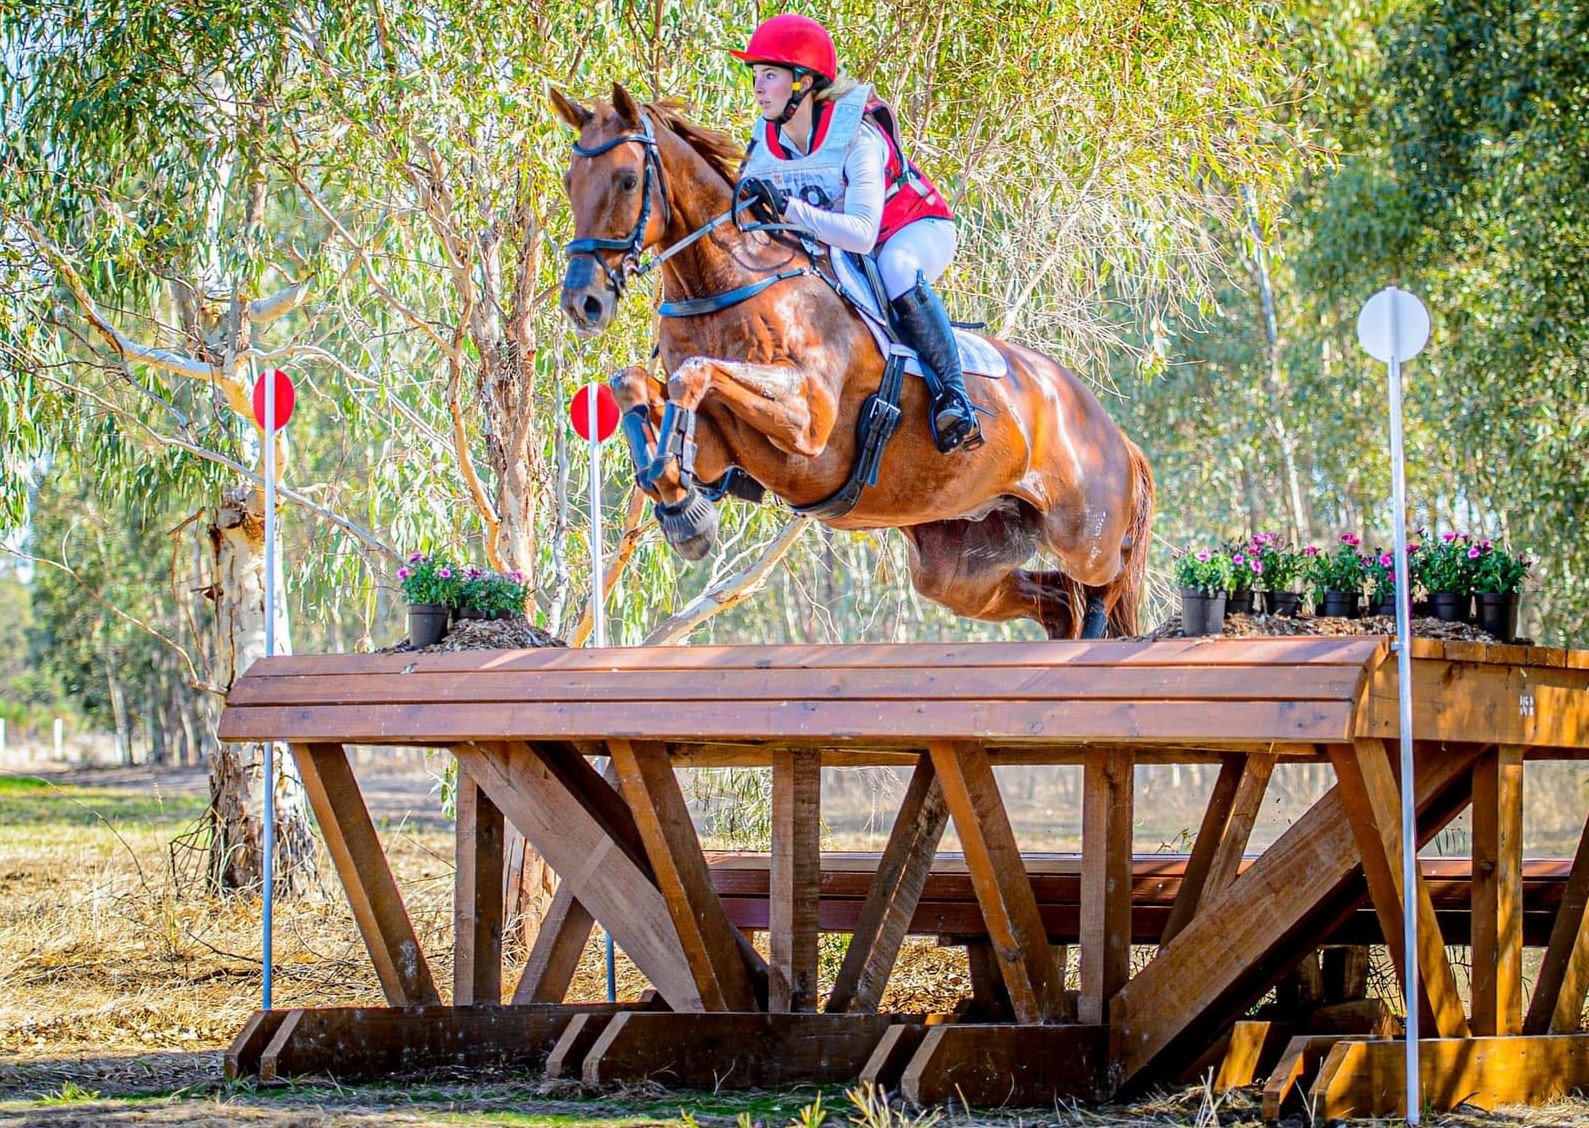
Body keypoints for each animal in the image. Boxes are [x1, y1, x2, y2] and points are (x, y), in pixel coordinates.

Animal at [553, 83, 1154, 640]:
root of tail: (1111, 431)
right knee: (1053, 601)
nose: (584, 302)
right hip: (960, 565)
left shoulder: (808, 421)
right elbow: (634, 384)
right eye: (568, 182)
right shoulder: (722, 445)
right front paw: (681, 508)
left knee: (1108, 577)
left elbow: (692, 373)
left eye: (628, 181)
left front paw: (685, 512)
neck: (724, 286)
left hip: (1085, 535)